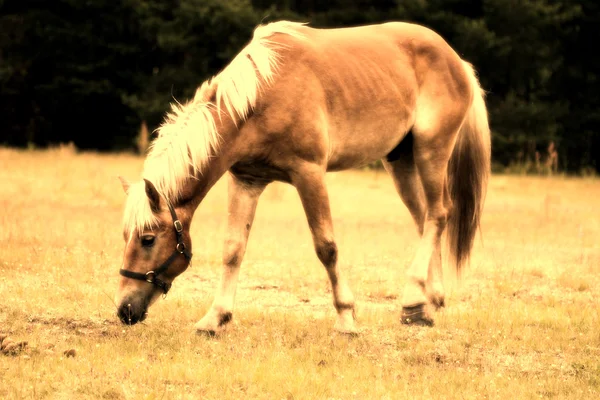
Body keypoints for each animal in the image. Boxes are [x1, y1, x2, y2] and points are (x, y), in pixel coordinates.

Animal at [115, 21, 490, 334]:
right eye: (126, 237)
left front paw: (346, 318)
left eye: (148, 239)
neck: (261, 96)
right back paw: (430, 302)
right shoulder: (246, 180)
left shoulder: (309, 173)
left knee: (439, 214)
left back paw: (413, 301)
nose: (124, 310)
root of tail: (457, 61)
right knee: (425, 218)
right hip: (400, 163)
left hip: (431, 151)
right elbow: (233, 249)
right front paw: (214, 318)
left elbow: (327, 247)